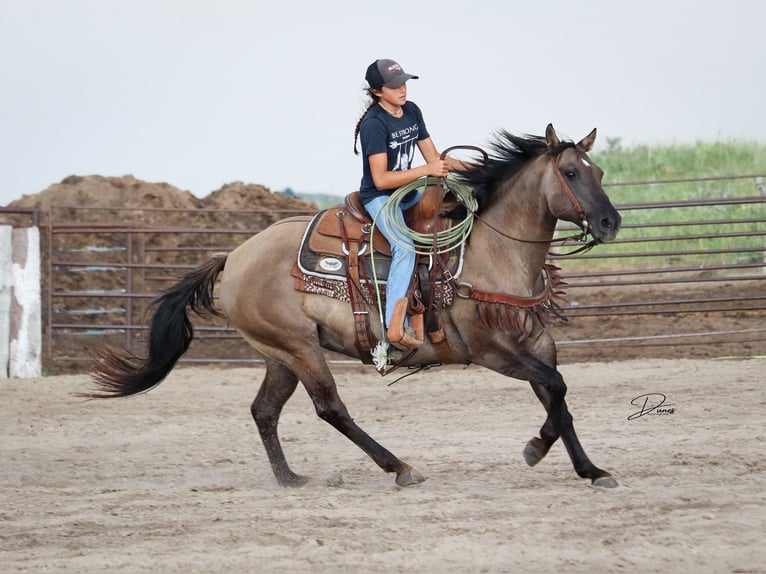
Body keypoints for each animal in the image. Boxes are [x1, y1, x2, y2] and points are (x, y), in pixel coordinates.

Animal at [85, 125, 624, 490]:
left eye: (598, 171)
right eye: (570, 173)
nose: (610, 222)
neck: (491, 253)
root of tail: (233, 257)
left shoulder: (535, 342)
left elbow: (557, 395)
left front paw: (589, 468)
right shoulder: (490, 350)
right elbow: (556, 388)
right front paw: (536, 450)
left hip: (279, 354)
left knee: (264, 410)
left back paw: (290, 478)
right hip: (300, 347)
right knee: (330, 407)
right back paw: (399, 467)